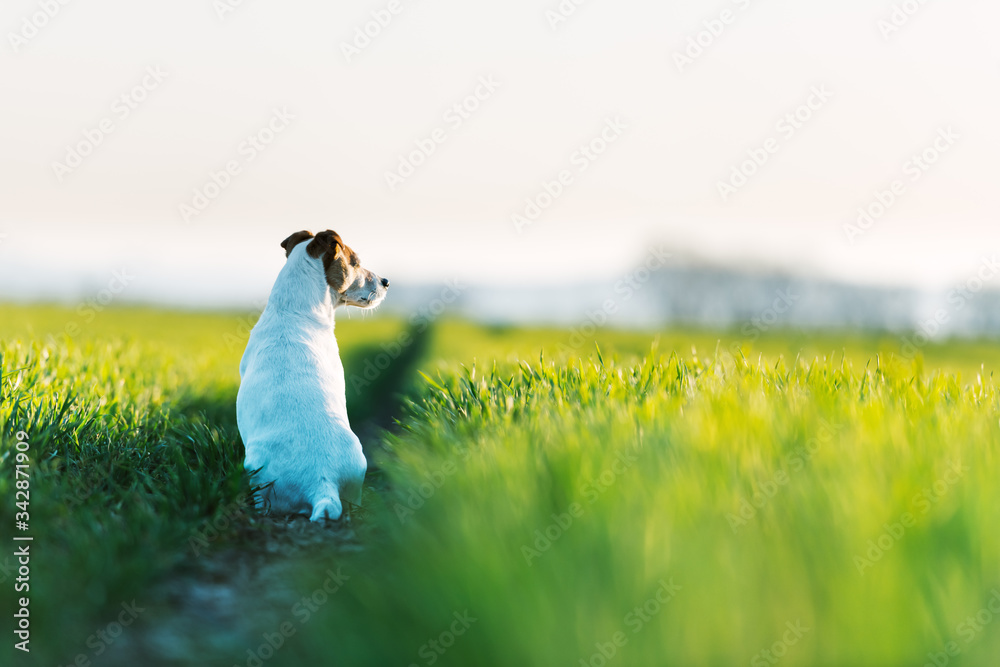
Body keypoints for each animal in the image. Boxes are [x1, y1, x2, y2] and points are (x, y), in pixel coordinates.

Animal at [236, 230, 388, 520]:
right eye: (355, 262)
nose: (387, 281)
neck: (292, 311)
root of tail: (323, 483)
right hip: (358, 464)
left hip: (255, 469)